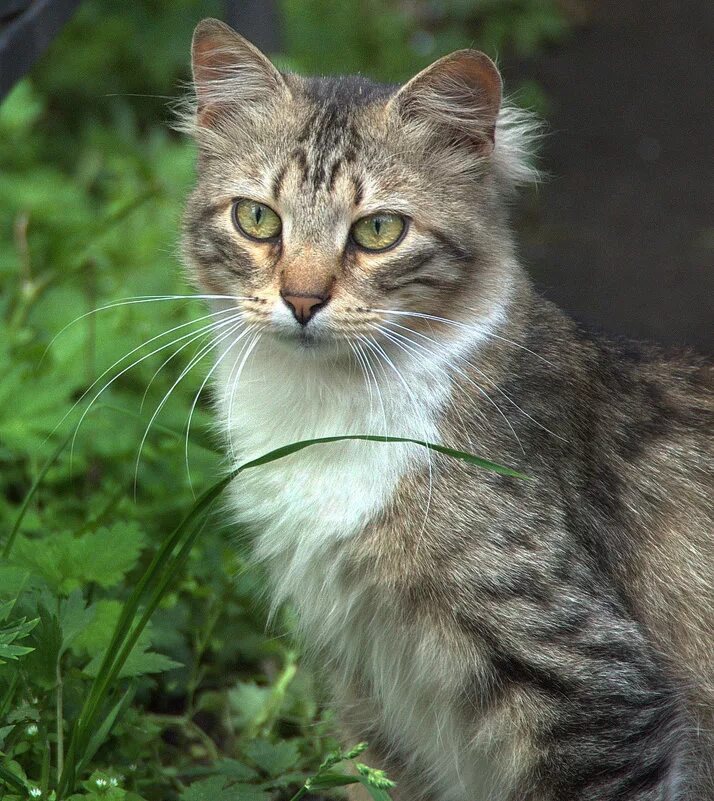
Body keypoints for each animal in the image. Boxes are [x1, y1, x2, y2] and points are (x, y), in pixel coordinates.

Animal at [179, 18, 712, 800]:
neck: (323, 413)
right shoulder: (367, 692)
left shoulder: (590, 689)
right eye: (257, 219)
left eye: (378, 231)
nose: (301, 301)